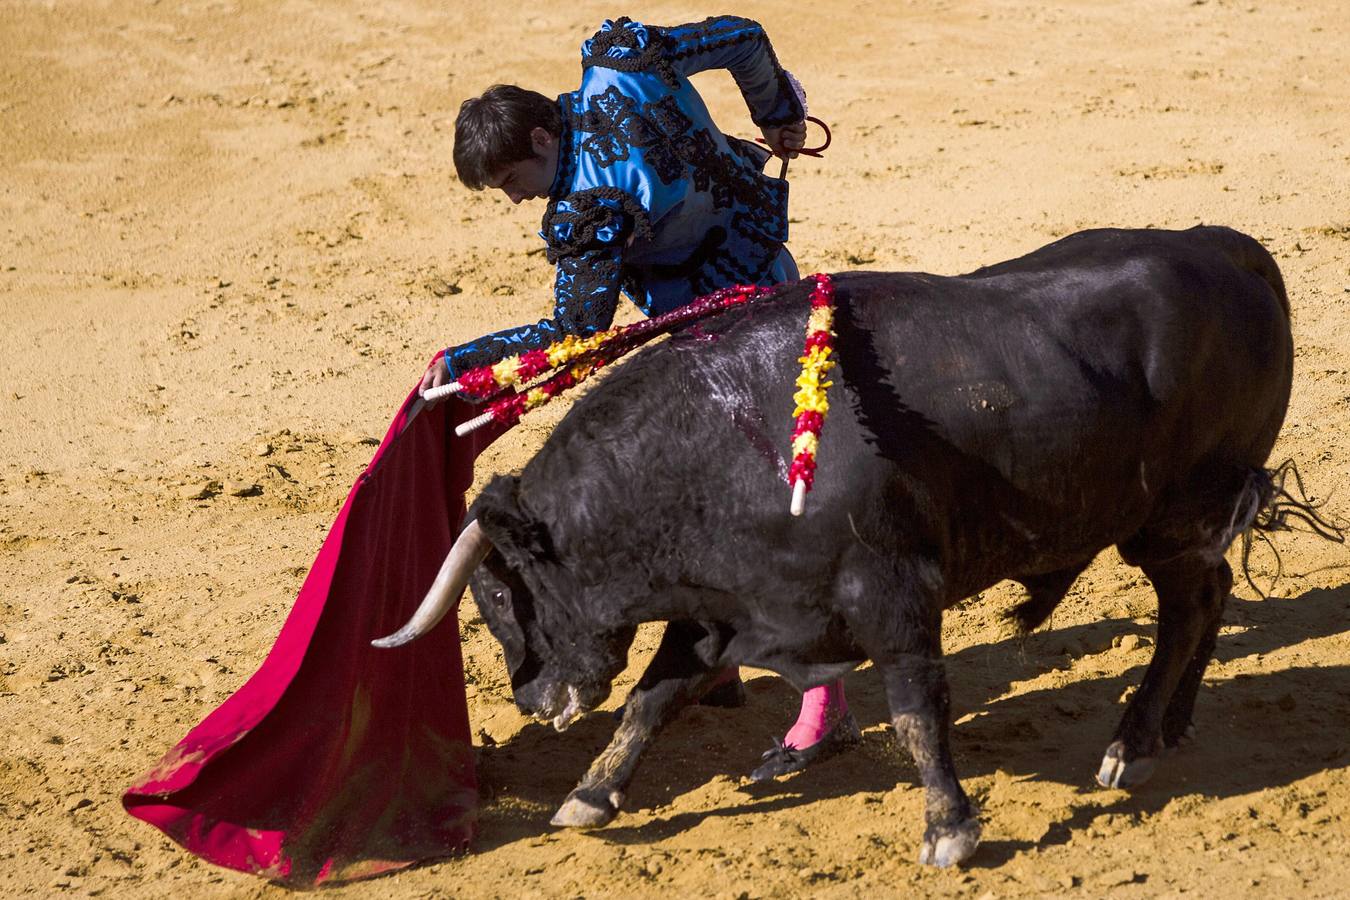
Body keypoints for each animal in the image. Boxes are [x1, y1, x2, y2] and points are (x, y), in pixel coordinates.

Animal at [375, 225, 1290, 863]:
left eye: (499, 594)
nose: (530, 701)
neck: (714, 446)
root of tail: (1233, 251)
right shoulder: (722, 610)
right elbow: (651, 700)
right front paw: (590, 795)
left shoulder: (892, 594)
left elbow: (918, 712)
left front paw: (949, 830)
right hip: (1179, 527)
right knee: (1209, 599)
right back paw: (1168, 730)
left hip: (1173, 520)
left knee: (1187, 610)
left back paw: (1129, 746)